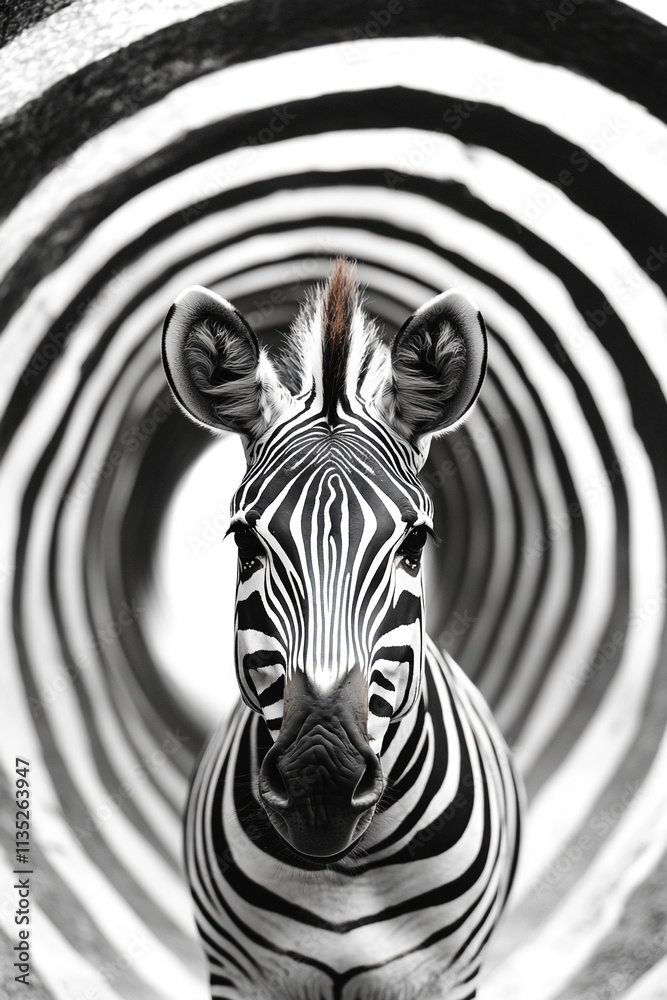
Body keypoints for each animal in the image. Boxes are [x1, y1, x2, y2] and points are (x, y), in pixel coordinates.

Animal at [162, 259, 522, 1000]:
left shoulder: (445, 977)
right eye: (246, 543)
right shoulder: (240, 976)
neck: (347, 870)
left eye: (415, 544)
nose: (319, 780)